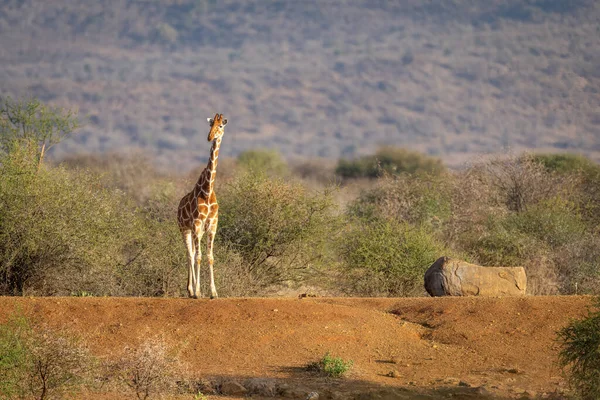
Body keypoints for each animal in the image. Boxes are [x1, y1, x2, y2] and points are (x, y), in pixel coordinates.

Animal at [178, 114, 227, 298]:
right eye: (210, 124)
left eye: (220, 126)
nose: (210, 137)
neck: (207, 190)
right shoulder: (197, 224)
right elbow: (198, 257)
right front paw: (198, 291)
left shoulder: (212, 226)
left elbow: (210, 257)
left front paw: (213, 292)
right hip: (185, 229)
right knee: (190, 255)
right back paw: (191, 290)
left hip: (194, 231)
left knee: (192, 254)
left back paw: (191, 289)